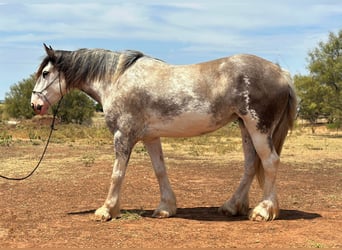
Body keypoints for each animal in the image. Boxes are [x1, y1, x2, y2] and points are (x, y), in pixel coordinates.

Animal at [30, 44, 296, 222]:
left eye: (45, 73)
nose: (35, 105)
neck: (117, 79)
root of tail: (281, 73)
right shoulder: (150, 137)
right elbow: (160, 170)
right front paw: (166, 208)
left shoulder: (123, 136)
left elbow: (117, 174)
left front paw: (107, 210)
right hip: (245, 127)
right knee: (251, 165)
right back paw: (232, 206)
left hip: (258, 127)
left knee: (270, 162)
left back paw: (263, 211)